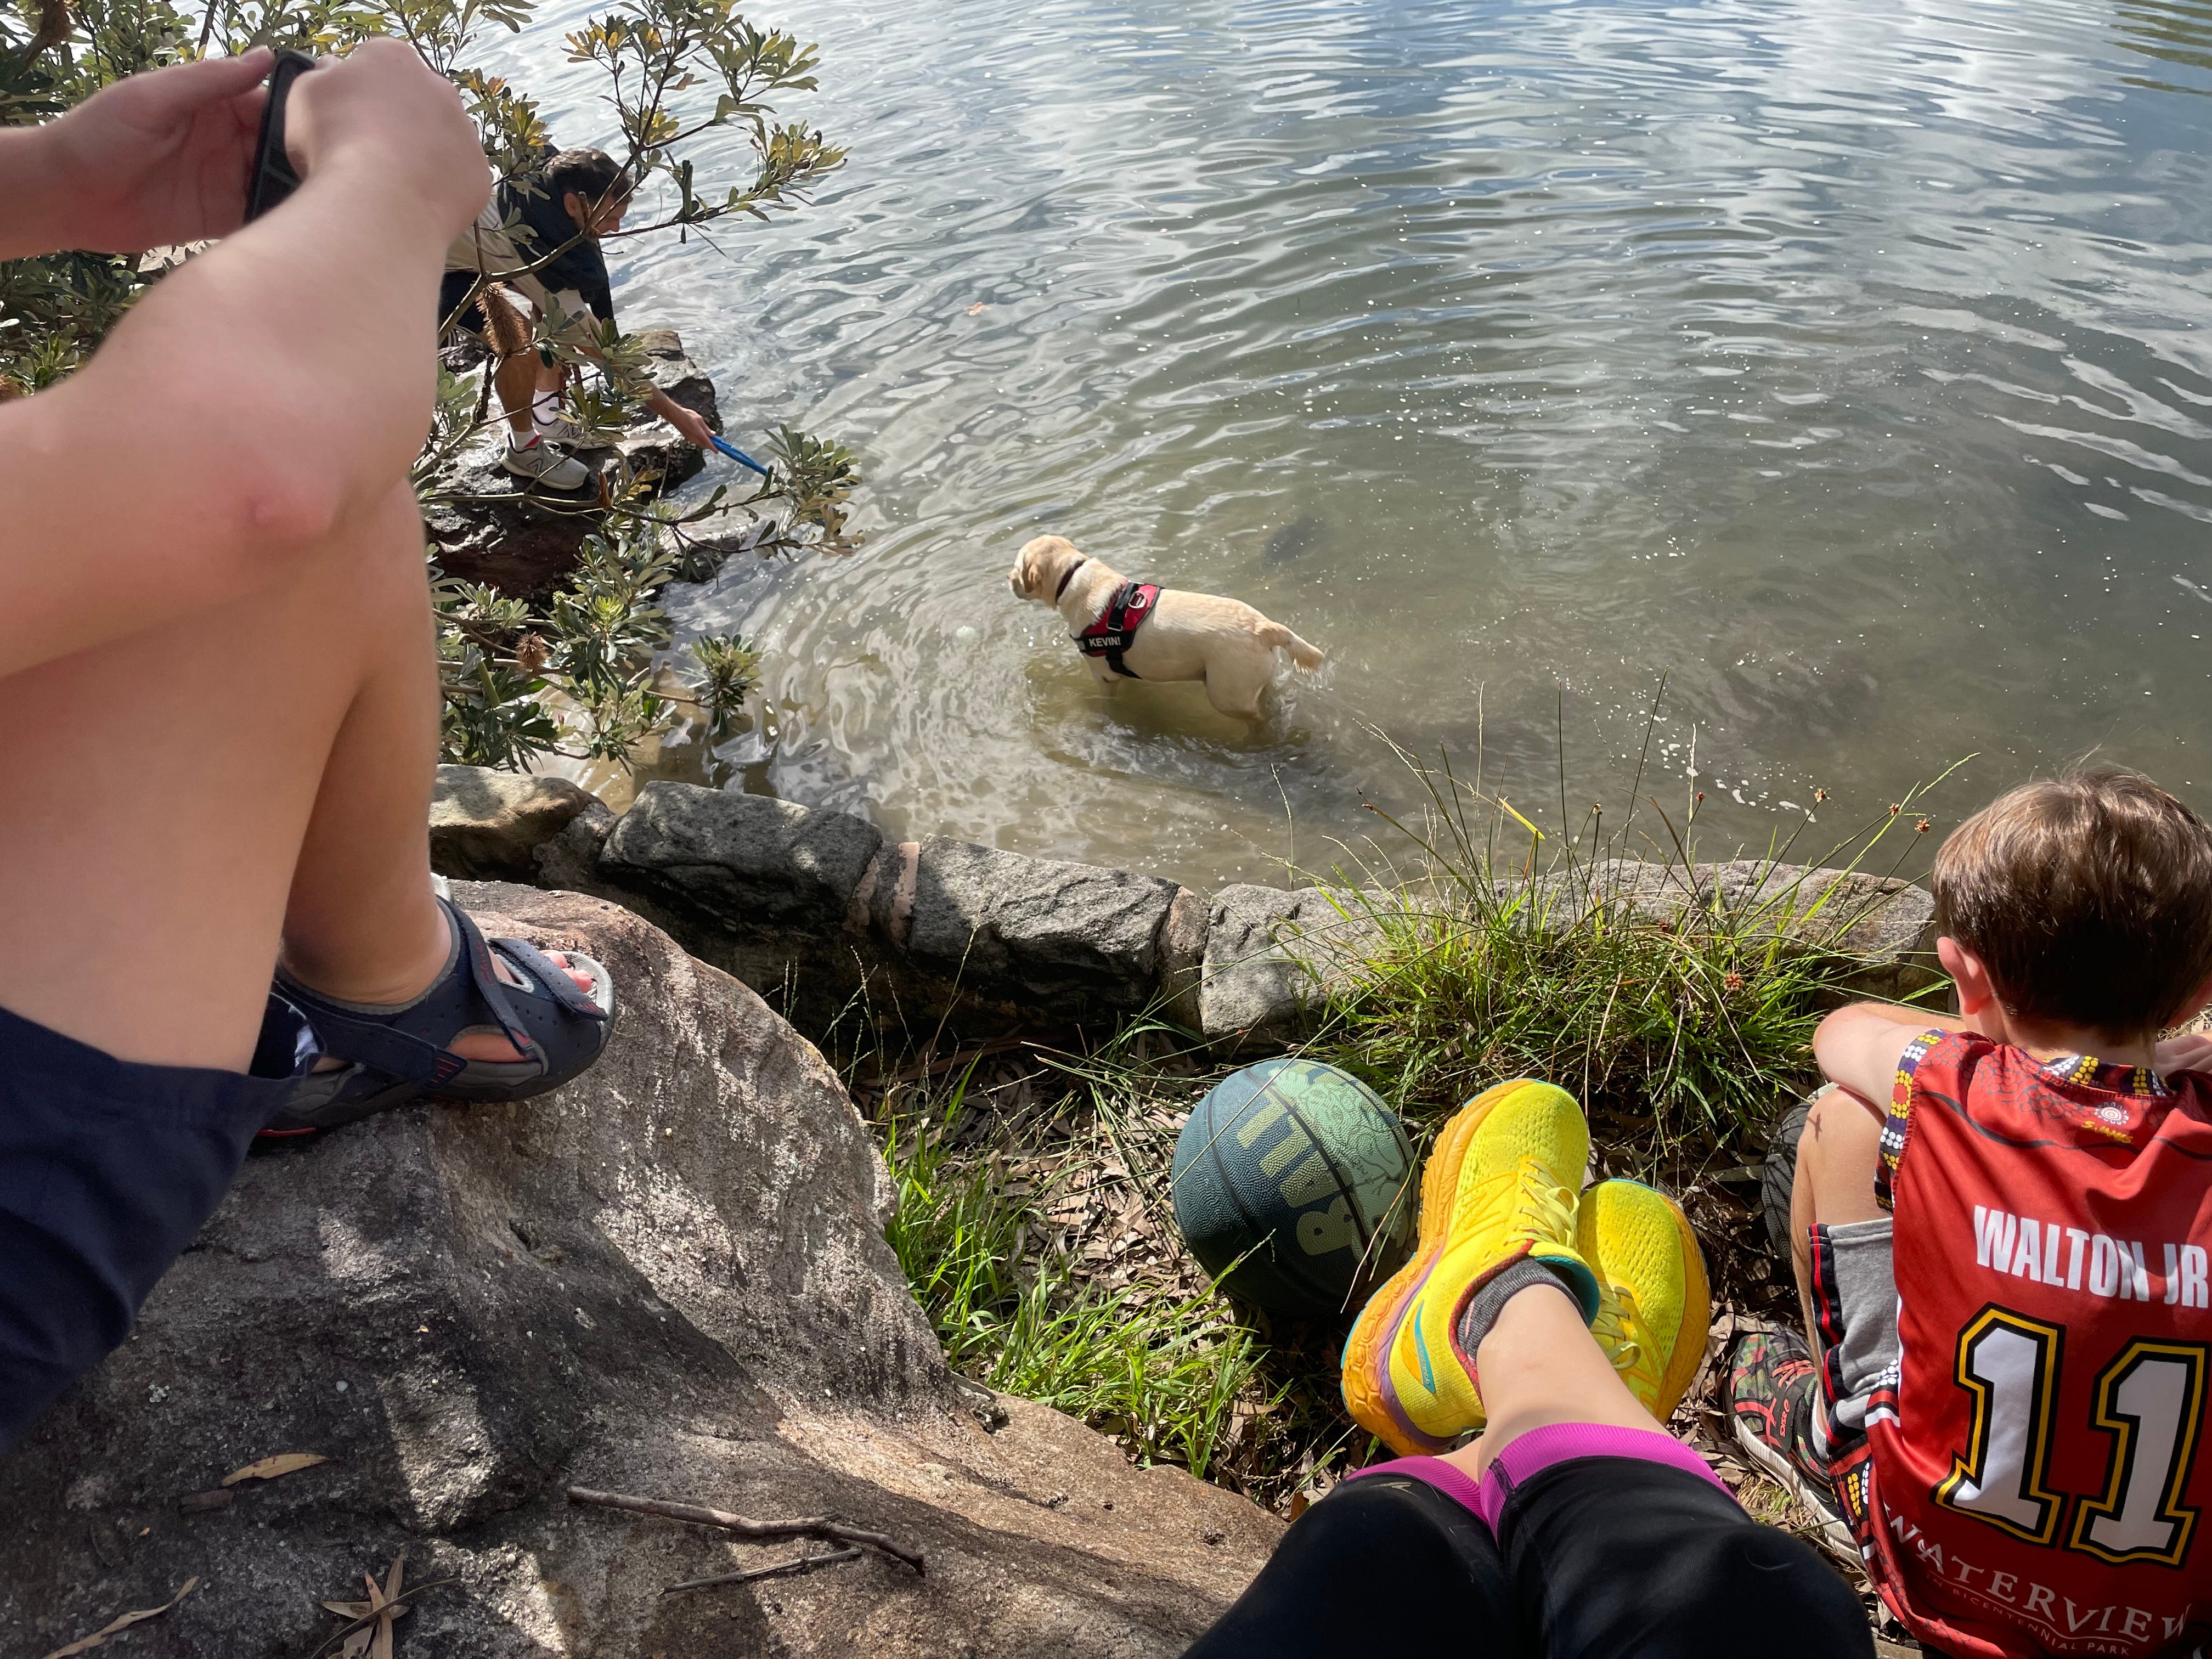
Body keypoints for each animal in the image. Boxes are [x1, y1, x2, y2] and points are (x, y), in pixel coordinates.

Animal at [1009, 535, 1324, 719]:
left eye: (1017, 566)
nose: (1007, 579)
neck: (1073, 577)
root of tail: (1265, 628)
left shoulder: (1103, 676)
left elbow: (1107, 699)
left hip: (1226, 696)